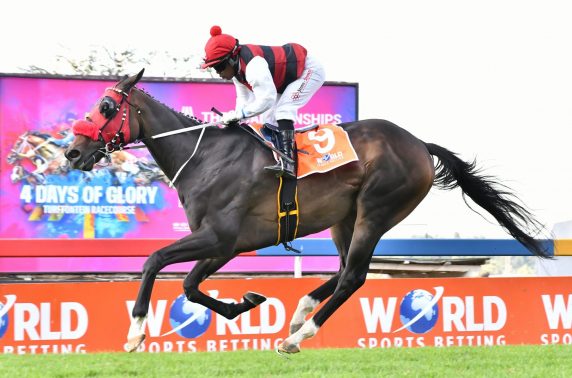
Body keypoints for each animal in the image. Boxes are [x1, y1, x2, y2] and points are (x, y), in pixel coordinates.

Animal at [63, 68, 548, 354]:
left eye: (106, 107)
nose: (72, 152)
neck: (204, 156)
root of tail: (419, 144)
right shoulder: (226, 244)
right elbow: (189, 286)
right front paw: (247, 303)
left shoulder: (219, 236)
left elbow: (154, 261)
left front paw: (135, 332)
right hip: (344, 219)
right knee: (345, 267)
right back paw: (301, 311)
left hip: (376, 208)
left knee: (355, 275)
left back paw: (300, 335)